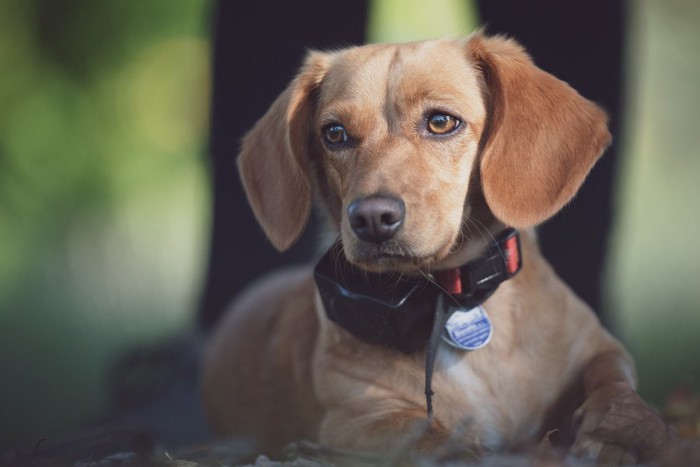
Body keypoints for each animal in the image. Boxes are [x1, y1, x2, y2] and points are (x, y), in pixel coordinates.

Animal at [201, 33, 672, 464]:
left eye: (442, 122)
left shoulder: (601, 348)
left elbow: (613, 385)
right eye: (334, 134)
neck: (453, 296)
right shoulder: (355, 421)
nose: (371, 218)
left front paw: (610, 434)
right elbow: (436, 438)